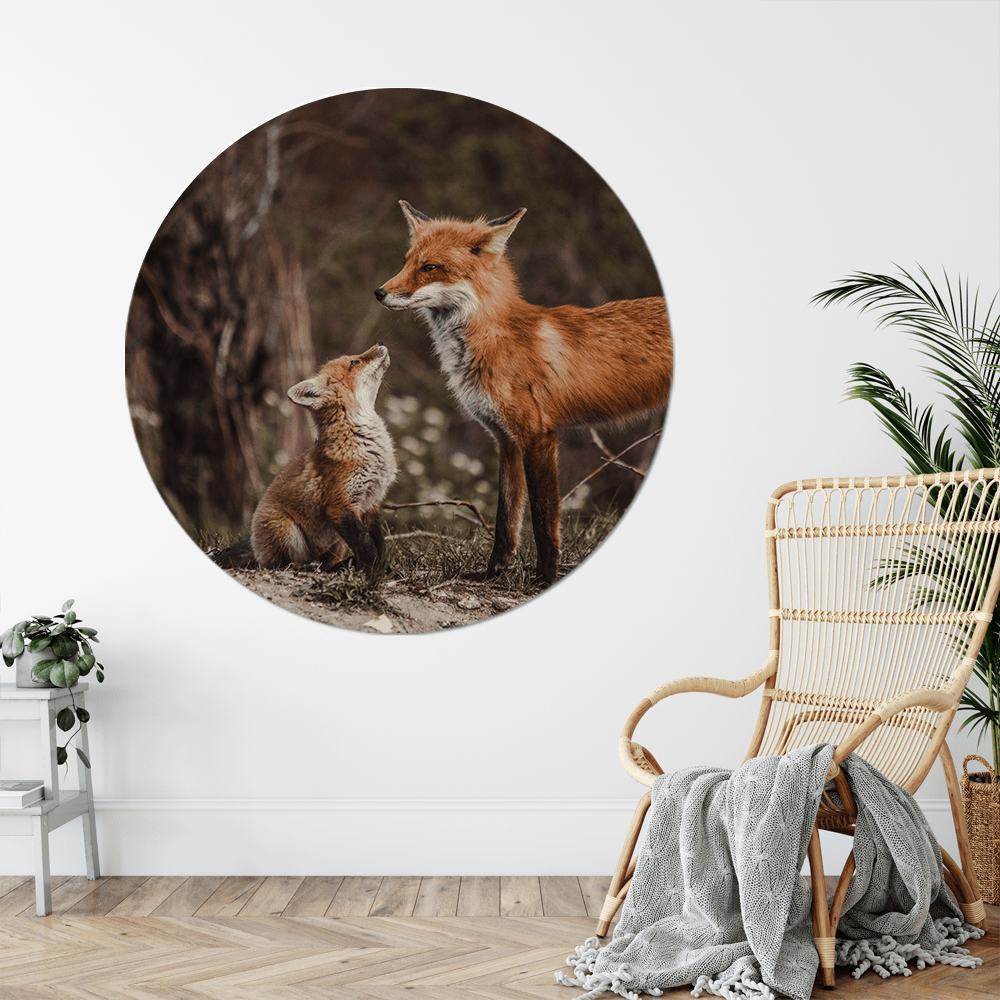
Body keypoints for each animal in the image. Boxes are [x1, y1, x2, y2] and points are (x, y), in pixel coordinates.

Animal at [251, 344, 397, 576]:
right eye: (354, 362)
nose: (381, 343)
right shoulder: (339, 505)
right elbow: (365, 542)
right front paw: (370, 572)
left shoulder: (371, 502)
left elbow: (378, 542)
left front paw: (377, 567)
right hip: (288, 532)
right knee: (287, 564)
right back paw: (306, 567)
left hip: (337, 543)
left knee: (327, 565)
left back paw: (340, 567)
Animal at [375, 201, 671, 585]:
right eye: (406, 262)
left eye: (430, 267)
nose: (379, 292)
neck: (491, 339)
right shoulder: (506, 439)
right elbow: (506, 520)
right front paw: (492, 574)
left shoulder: (538, 434)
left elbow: (544, 520)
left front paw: (545, 578)